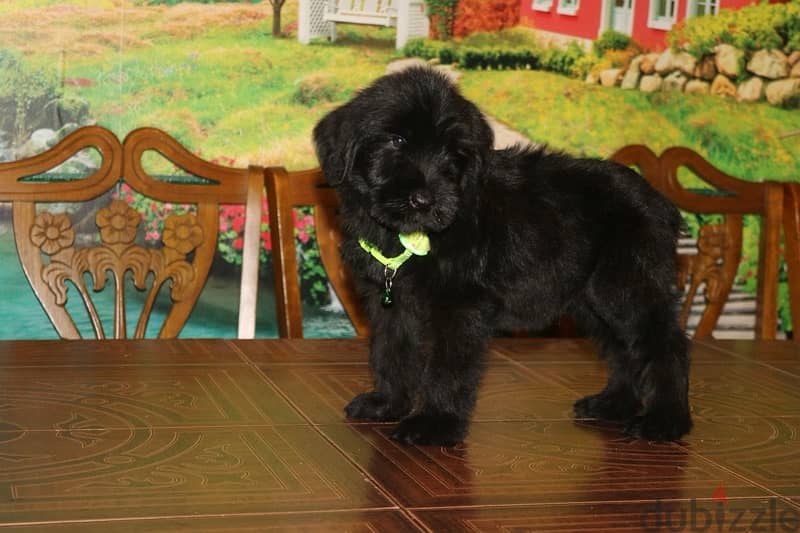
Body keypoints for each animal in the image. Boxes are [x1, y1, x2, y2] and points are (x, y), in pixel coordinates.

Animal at [310, 66, 692, 444]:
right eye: (397, 141)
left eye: (453, 153)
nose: (425, 200)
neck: (406, 238)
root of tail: (659, 202)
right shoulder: (389, 303)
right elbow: (390, 352)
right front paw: (387, 404)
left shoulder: (459, 307)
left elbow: (446, 364)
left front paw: (434, 422)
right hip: (593, 301)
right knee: (623, 348)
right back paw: (614, 404)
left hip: (626, 287)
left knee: (665, 343)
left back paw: (665, 420)